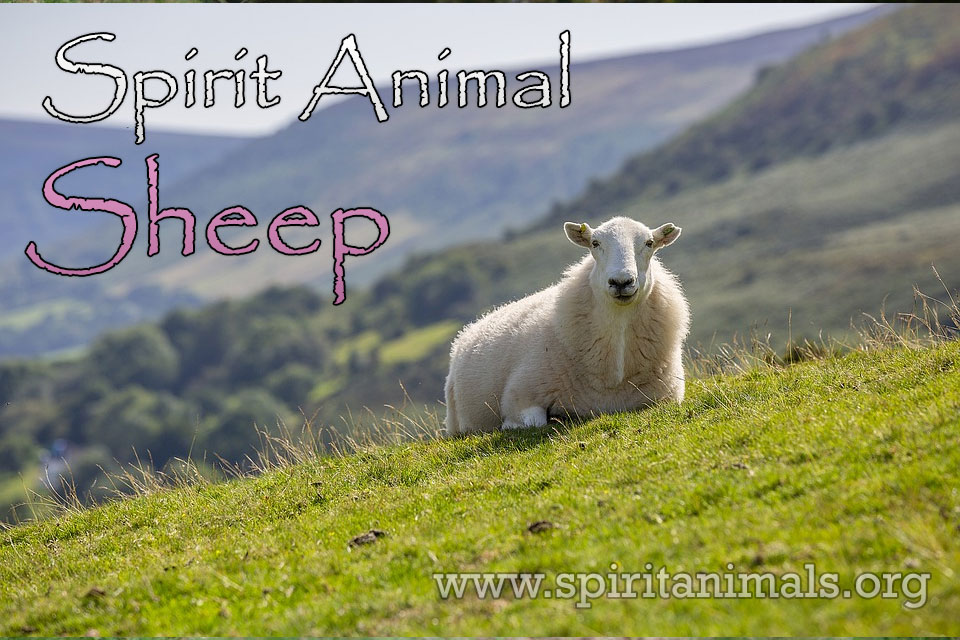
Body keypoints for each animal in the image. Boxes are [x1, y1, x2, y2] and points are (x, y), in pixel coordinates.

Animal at [443, 216, 690, 435]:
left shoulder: (667, 398)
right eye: (595, 243)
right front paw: (514, 425)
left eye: (649, 243)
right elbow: (533, 422)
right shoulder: (520, 396)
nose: (621, 282)